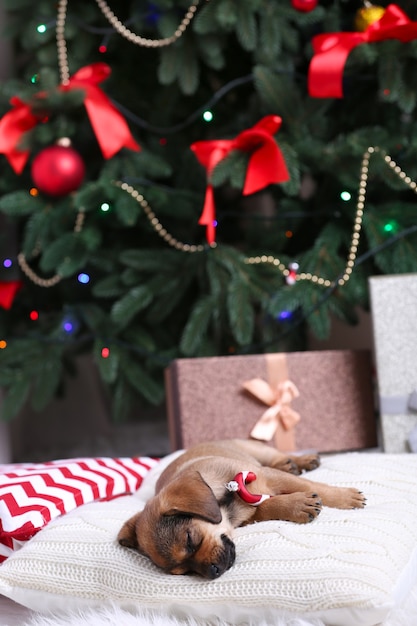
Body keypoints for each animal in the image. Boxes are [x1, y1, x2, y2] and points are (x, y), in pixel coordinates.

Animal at [118, 436, 364, 576]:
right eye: (184, 572)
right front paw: (298, 505)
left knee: (278, 457)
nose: (214, 572)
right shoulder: (250, 513)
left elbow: (314, 486)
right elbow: (268, 506)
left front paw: (346, 497)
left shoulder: (271, 477)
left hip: (258, 451)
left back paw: (300, 461)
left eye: (191, 540)